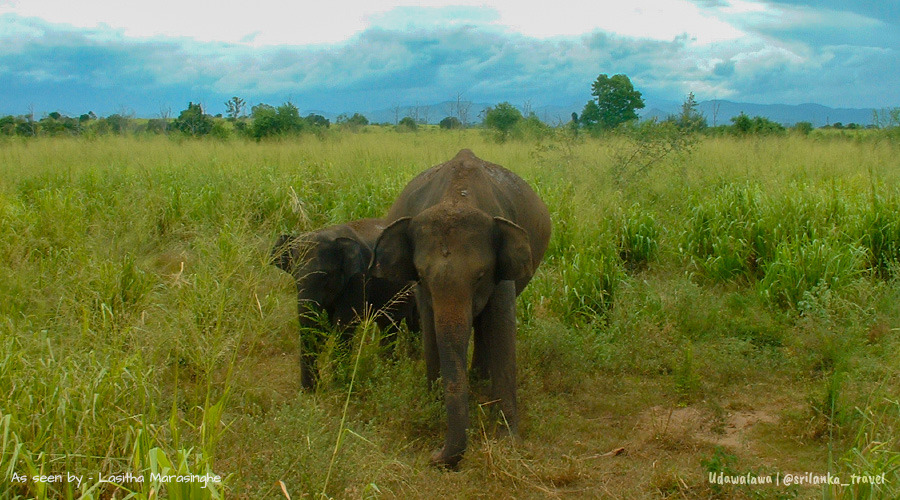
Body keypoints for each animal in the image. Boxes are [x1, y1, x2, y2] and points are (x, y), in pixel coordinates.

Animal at [270, 219, 418, 390]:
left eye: (325, 276)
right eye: (294, 275)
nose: (311, 389)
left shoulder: (358, 278)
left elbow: (344, 325)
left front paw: (340, 384)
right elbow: (322, 327)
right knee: (389, 325)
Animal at [370, 150, 548, 466]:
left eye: (480, 276)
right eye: (422, 274)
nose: (434, 454)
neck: (458, 198)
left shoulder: (501, 271)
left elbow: (501, 330)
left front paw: (506, 441)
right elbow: (431, 329)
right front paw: (433, 408)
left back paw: (480, 382)